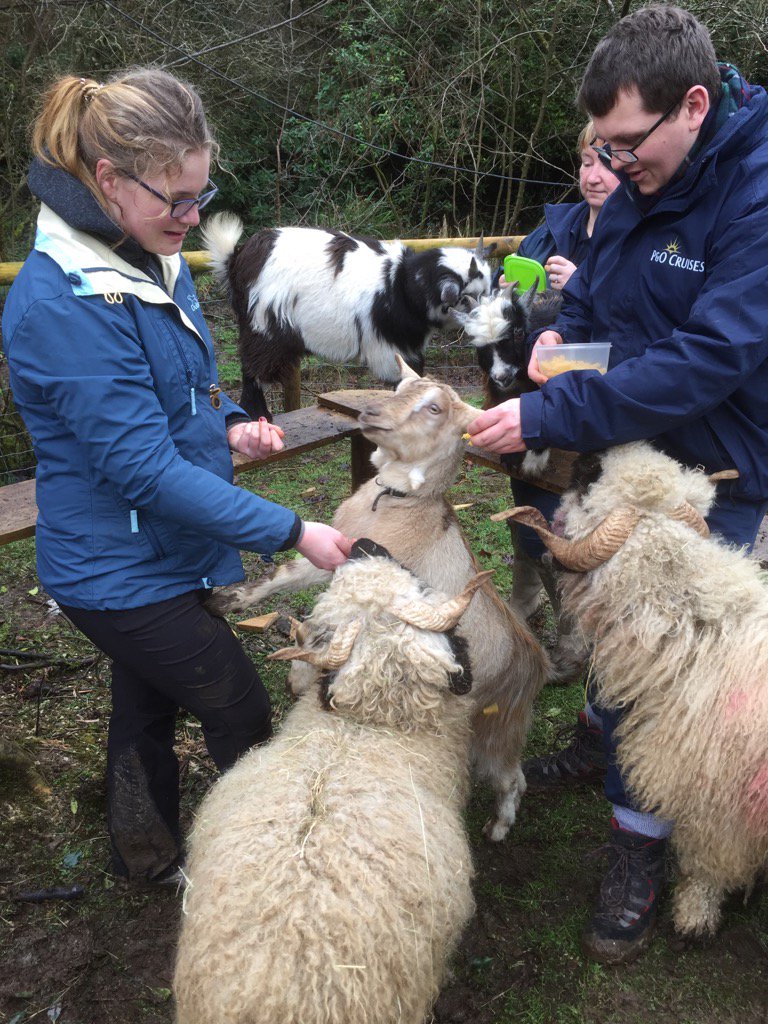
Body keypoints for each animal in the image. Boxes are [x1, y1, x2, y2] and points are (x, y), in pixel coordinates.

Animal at [202, 213, 494, 419]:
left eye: (489, 289)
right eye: (466, 298)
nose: (490, 324)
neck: (400, 283)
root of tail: (237, 260)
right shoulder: (391, 345)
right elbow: (404, 374)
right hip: (262, 326)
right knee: (252, 368)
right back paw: (257, 414)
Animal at [207, 359, 548, 841]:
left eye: (434, 408)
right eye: (400, 388)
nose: (369, 412)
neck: (397, 502)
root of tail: (535, 658)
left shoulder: (366, 571)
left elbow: (323, 619)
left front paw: (298, 675)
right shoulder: (342, 555)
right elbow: (286, 579)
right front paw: (229, 600)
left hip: (497, 727)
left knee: (512, 777)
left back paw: (499, 827)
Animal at [496, 441, 768, 939]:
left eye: (591, 479)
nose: (592, 450)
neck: (696, 631)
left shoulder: (720, 800)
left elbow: (709, 862)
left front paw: (694, 911)